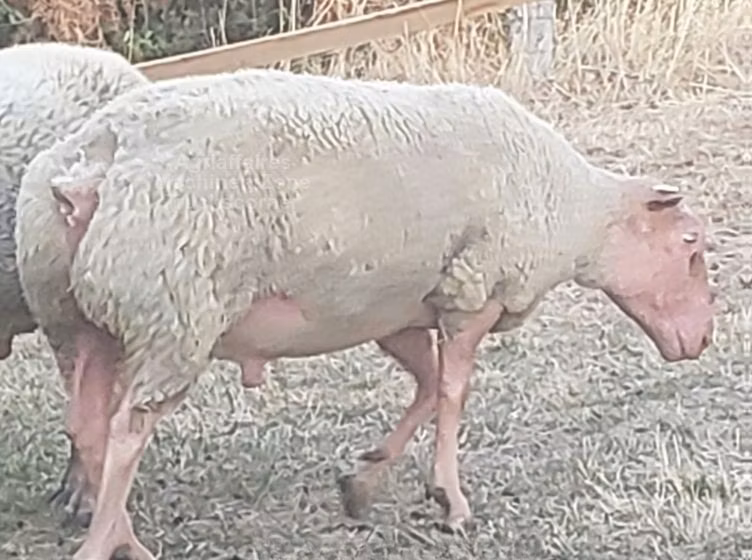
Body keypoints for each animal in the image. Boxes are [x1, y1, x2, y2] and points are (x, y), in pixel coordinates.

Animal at [15, 67, 715, 559]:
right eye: (690, 245)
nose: (702, 341)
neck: (574, 214)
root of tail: (93, 167)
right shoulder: (472, 291)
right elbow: (453, 393)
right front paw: (450, 500)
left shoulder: (401, 311)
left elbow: (426, 388)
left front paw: (364, 482)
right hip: (174, 313)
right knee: (128, 431)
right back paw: (108, 544)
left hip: (84, 322)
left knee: (88, 426)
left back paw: (119, 532)